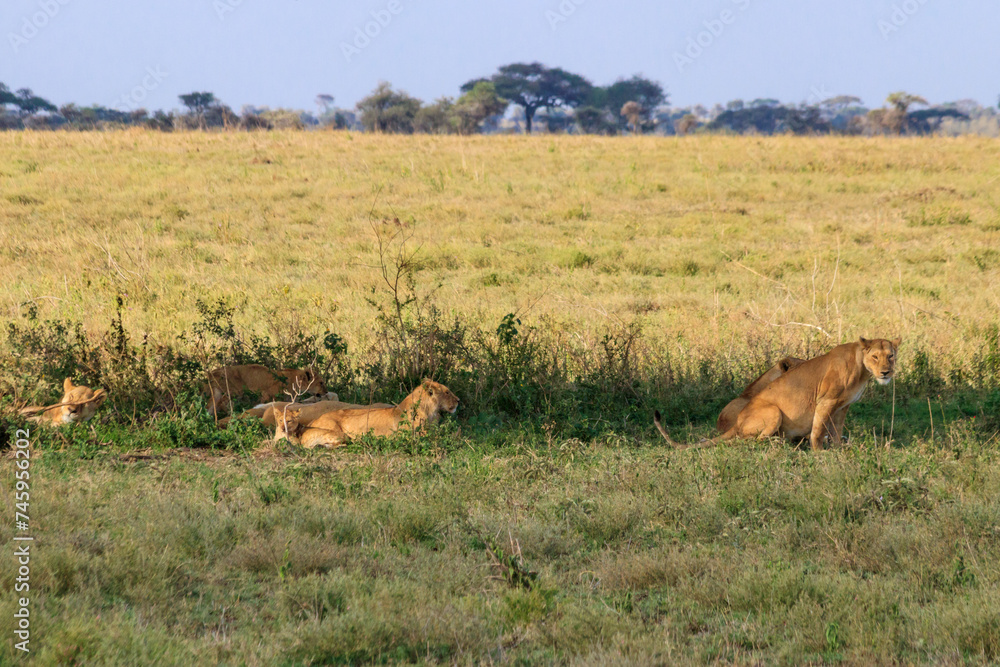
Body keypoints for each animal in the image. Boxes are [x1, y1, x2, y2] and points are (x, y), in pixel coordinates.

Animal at [655, 337, 900, 451]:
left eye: (890, 356)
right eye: (875, 357)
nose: (886, 372)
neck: (862, 370)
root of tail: (737, 422)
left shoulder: (842, 406)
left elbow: (836, 431)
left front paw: (839, 449)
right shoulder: (825, 401)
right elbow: (818, 430)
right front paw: (820, 452)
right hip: (774, 412)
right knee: (750, 441)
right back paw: (779, 443)